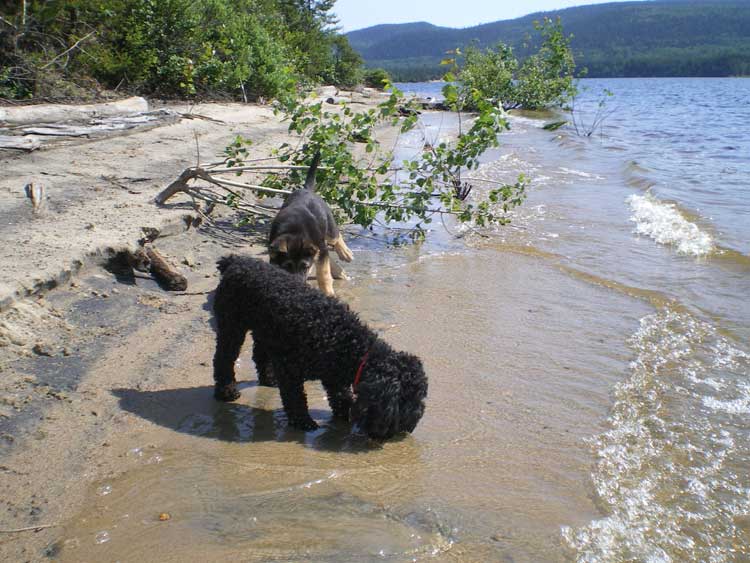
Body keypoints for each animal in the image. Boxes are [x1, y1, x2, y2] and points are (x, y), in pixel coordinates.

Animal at [214, 254, 432, 440]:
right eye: (405, 402)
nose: (411, 426)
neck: (345, 341)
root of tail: (234, 261)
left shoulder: (334, 375)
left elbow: (340, 396)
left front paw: (345, 415)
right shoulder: (290, 369)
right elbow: (296, 398)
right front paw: (303, 422)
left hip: (265, 331)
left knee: (260, 354)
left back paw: (268, 380)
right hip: (232, 325)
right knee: (223, 359)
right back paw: (226, 392)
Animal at [268, 152, 354, 298]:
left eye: (305, 267)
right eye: (287, 267)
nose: (298, 287)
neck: (294, 232)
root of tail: (306, 190)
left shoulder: (320, 248)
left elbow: (323, 273)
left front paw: (328, 293)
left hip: (328, 231)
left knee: (336, 237)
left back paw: (345, 253)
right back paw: (339, 271)